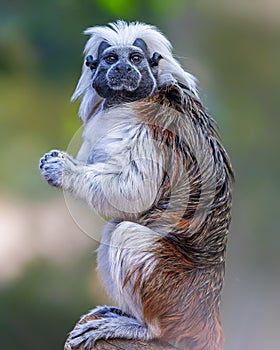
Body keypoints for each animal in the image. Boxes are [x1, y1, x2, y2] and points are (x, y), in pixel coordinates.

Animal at [38, 20, 232, 348]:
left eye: (136, 58)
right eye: (111, 59)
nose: (124, 69)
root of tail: (209, 309)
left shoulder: (148, 130)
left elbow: (134, 193)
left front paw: (62, 170)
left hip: (176, 291)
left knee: (126, 232)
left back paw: (145, 328)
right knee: (115, 229)